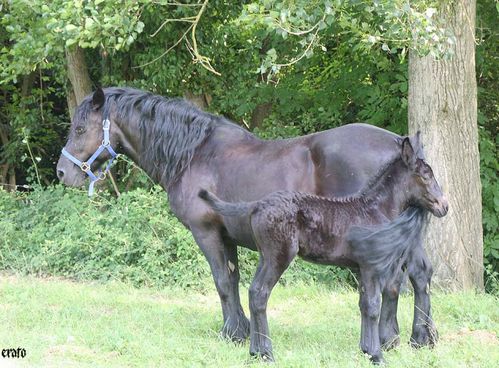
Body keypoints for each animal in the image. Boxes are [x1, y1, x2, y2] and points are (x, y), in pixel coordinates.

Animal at [199, 137, 450, 362]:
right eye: (426, 175)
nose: (444, 206)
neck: (376, 208)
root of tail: (257, 205)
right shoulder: (371, 267)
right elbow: (373, 307)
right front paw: (377, 355)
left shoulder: (361, 268)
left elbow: (363, 305)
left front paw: (365, 350)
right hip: (279, 256)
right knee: (260, 293)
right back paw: (267, 354)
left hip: (266, 256)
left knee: (253, 292)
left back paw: (254, 353)